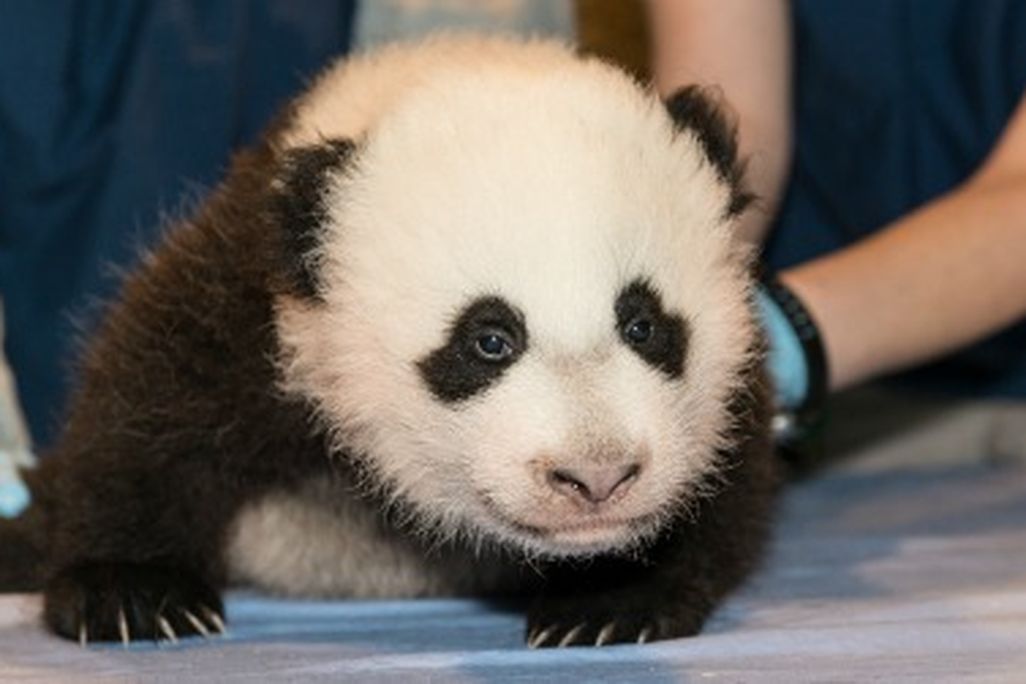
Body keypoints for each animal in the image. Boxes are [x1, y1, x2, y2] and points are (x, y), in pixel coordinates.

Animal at [0, 35, 778, 648]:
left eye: (643, 324)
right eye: (488, 340)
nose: (596, 477)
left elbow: (729, 470)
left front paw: (612, 600)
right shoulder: (259, 294)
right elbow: (151, 399)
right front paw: (131, 591)